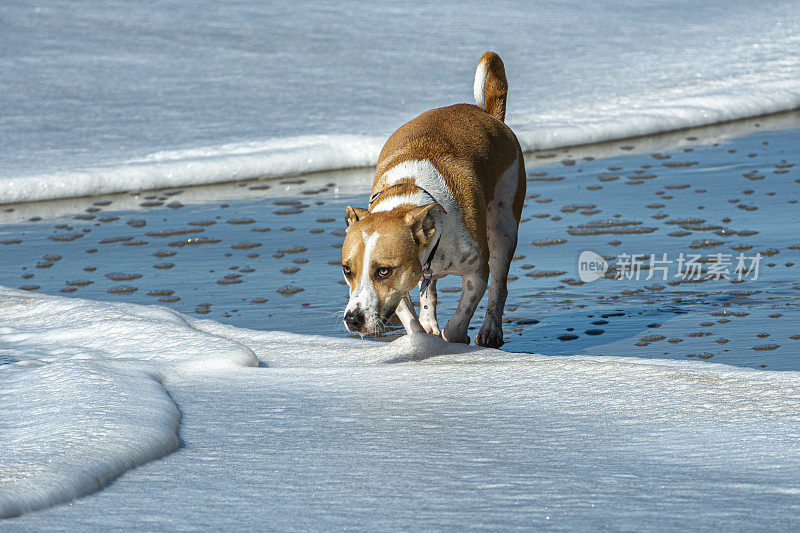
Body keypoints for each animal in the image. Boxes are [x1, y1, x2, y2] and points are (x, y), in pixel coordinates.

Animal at [340, 52, 520, 348]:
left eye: (383, 271)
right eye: (347, 270)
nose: (353, 319)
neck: (409, 197)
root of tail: (489, 115)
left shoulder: (476, 273)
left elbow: (461, 318)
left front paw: (453, 336)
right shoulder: (402, 285)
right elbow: (410, 317)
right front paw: (422, 336)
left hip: (504, 228)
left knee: (499, 287)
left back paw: (491, 331)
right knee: (430, 293)